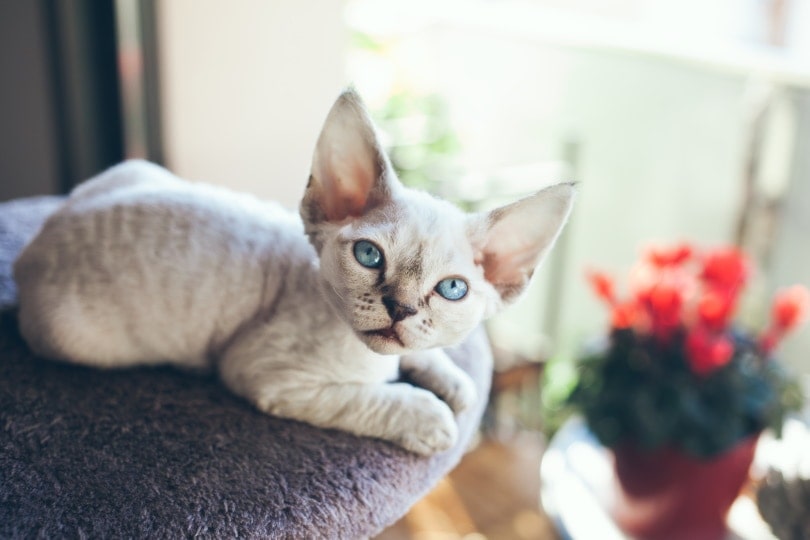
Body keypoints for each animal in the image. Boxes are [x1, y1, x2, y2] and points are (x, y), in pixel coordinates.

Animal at [9, 89, 572, 456]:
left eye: (451, 289)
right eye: (370, 256)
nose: (401, 307)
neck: (370, 358)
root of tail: (30, 249)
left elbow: (433, 362)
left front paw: (454, 384)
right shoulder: (266, 373)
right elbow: (376, 399)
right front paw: (433, 417)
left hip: (136, 171)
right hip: (75, 339)